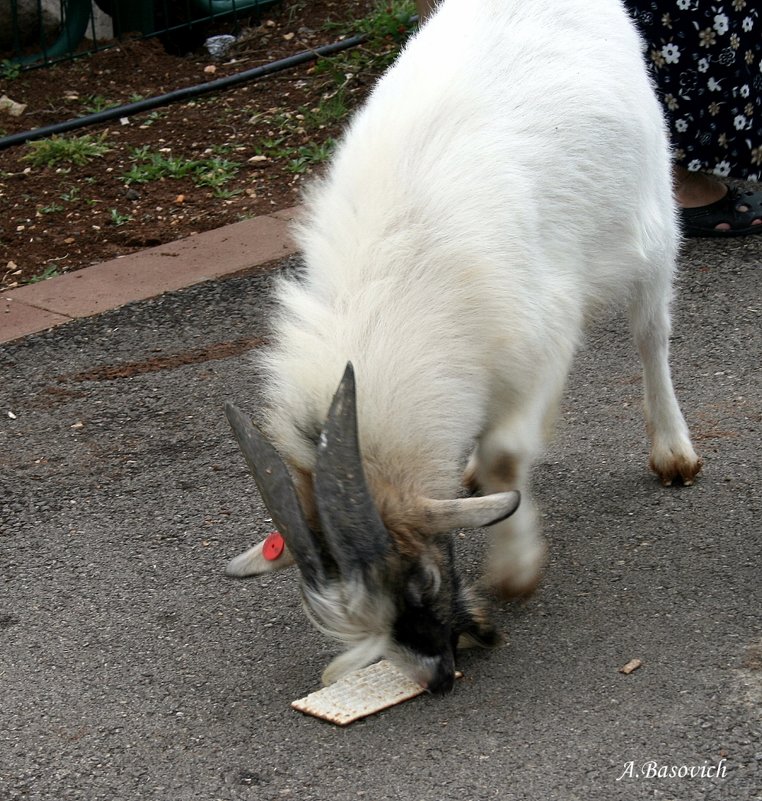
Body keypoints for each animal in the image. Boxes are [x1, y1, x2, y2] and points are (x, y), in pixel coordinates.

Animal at [224, 0, 700, 688]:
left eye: (423, 579)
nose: (438, 677)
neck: (393, 296)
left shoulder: (541, 343)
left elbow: (507, 455)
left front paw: (515, 571)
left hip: (650, 215)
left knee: (651, 331)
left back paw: (673, 450)